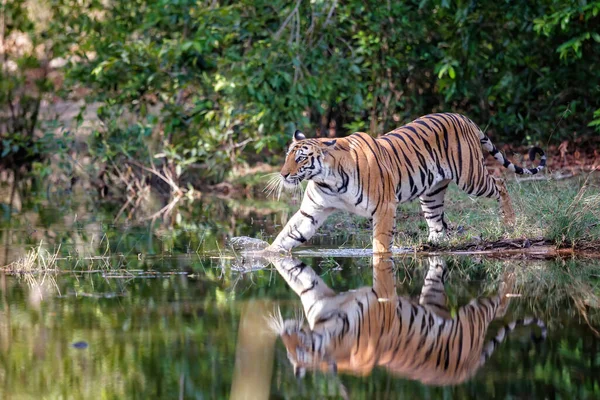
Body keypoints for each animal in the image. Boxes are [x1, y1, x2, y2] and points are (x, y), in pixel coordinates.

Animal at [264, 112, 548, 253]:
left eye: (301, 158)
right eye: (287, 156)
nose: (284, 174)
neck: (328, 180)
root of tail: (462, 116)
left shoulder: (385, 206)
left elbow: (380, 244)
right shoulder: (312, 211)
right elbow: (288, 235)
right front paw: (264, 255)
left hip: (471, 177)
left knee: (500, 183)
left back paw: (509, 222)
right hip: (431, 193)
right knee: (437, 223)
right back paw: (432, 244)